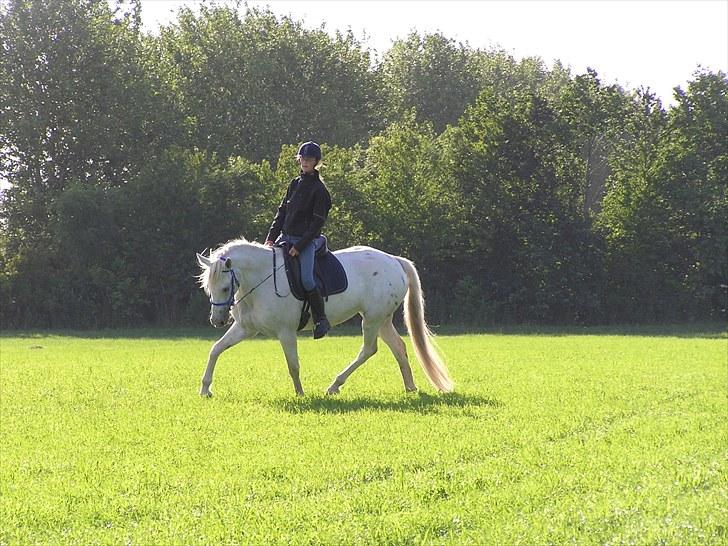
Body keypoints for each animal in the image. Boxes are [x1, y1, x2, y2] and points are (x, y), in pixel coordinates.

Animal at [196, 238, 452, 396]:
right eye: (208, 288)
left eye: (225, 288)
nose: (217, 321)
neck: (262, 278)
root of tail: (394, 260)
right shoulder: (244, 328)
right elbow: (216, 349)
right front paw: (205, 389)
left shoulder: (285, 331)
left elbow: (293, 364)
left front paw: (300, 394)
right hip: (382, 319)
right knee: (398, 347)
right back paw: (410, 388)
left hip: (372, 319)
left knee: (368, 350)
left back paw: (334, 385)